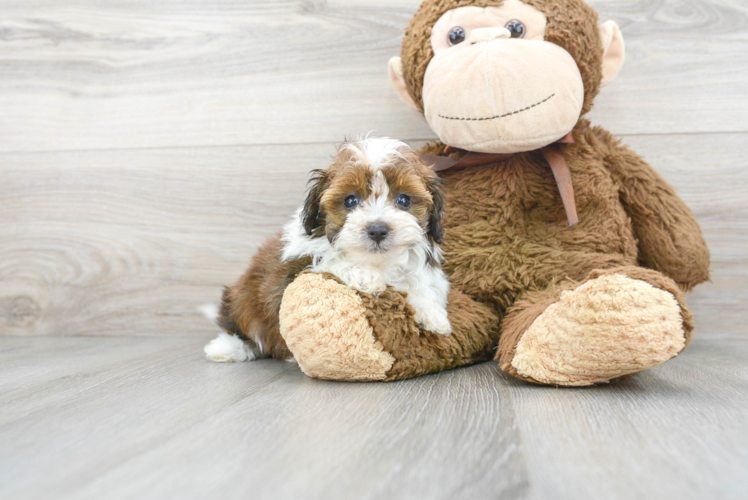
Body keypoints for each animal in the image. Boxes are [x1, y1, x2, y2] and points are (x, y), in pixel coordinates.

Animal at [203, 137, 450, 364]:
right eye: (350, 200)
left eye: (404, 200)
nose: (378, 230)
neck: (376, 261)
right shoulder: (295, 268)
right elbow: (330, 262)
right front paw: (367, 277)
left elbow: (417, 282)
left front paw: (433, 313)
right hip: (242, 301)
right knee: (242, 328)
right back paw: (226, 348)